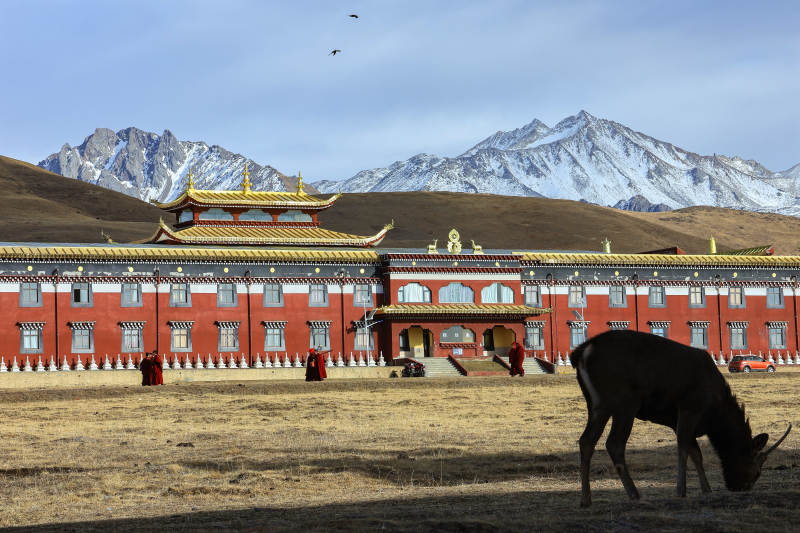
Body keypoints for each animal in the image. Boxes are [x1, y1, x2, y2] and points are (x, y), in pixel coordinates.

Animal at [570, 329, 791, 507]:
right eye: (757, 470)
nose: (742, 487)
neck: (714, 414)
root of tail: (582, 352)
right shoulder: (689, 408)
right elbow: (684, 447)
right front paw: (681, 490)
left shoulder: (679, 421)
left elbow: (696, 453)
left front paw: (707, 489)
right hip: (625, 402)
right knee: (614, 443)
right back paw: (634, 494)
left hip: (597, 405)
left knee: (586, 440)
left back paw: (585, 499)